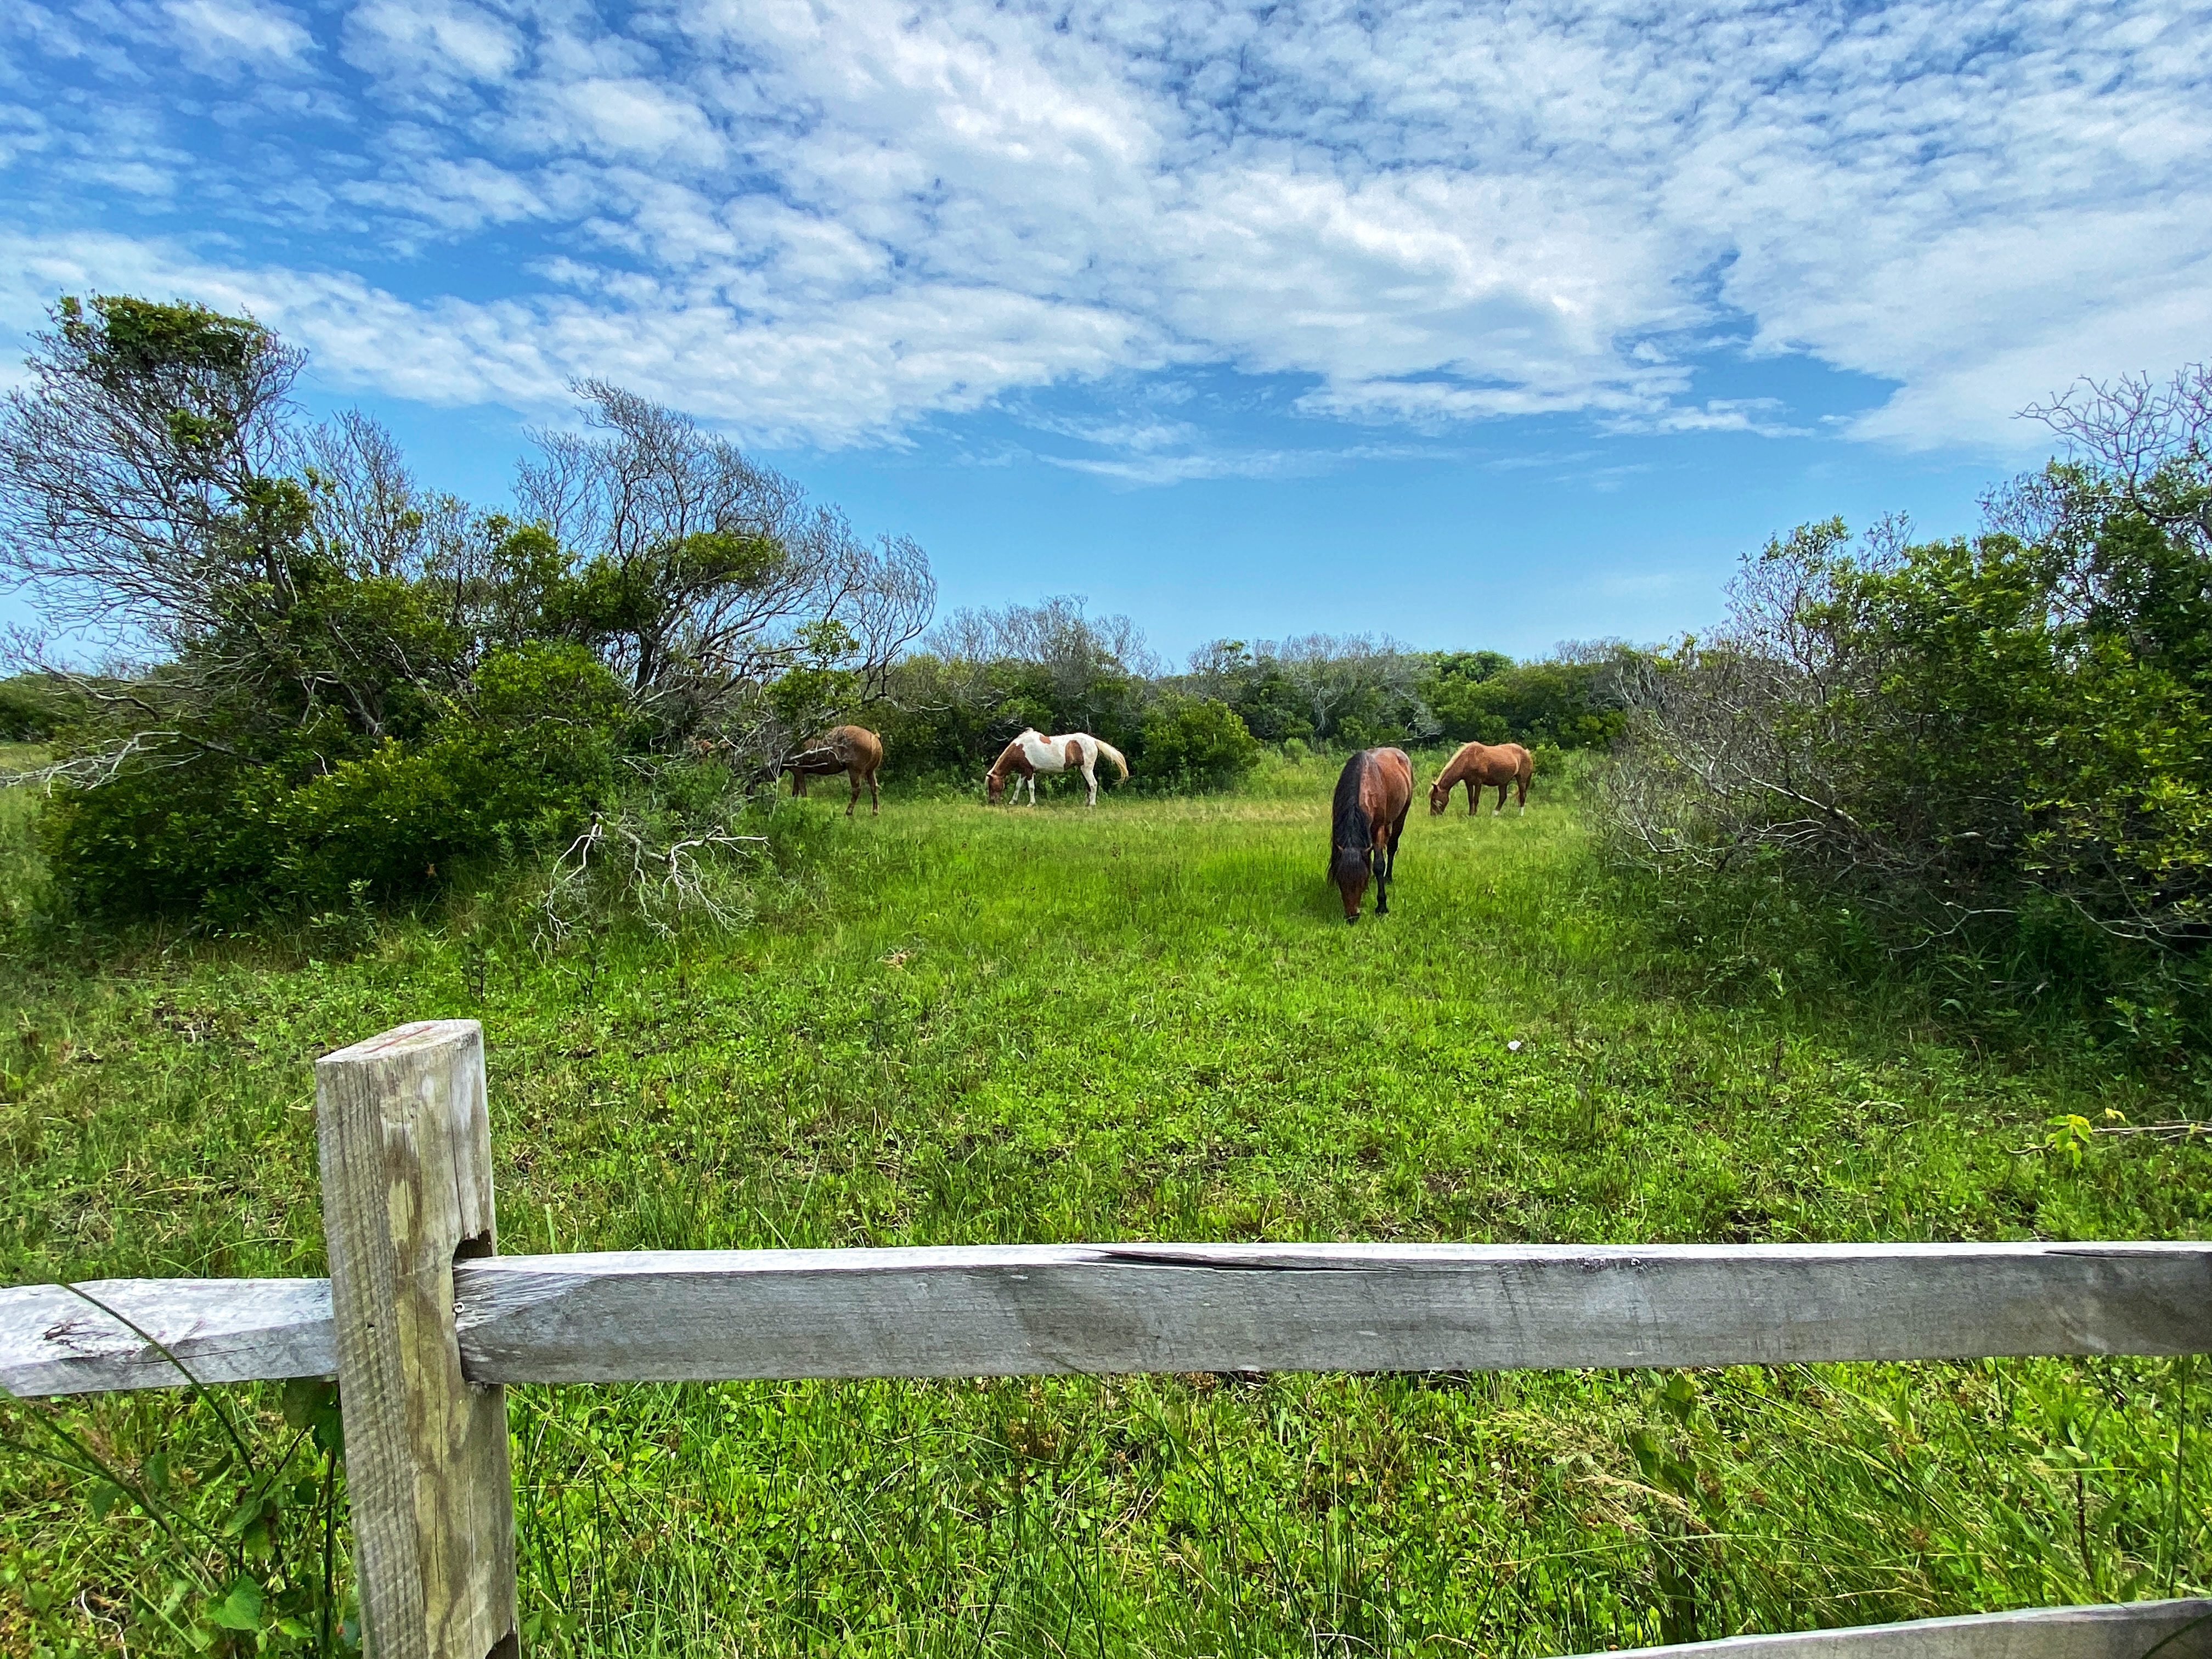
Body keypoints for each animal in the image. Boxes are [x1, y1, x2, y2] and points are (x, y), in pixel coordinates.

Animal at [778, 725, 880, 818]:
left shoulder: (798, 771)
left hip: (854, 771)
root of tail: (874, 739)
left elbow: (803, 792)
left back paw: (849, 812)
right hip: (870, 772)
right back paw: (875, 812)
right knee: (874, 788)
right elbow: (795, 792)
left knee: (857, 790)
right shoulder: (797, 773)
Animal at [982, 730, 1124, 809]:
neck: (1020, 748)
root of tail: (1094, 741)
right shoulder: (1024, 771)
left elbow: (1031, 788)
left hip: (1087, 769)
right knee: (1089, 786)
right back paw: (1087, 804)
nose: (992, 802)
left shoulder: (1029, 771)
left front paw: (1031, 803)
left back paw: (1092, 805)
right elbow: (1018, 786)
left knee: (1093, 784)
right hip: (1083, 769)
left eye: (991, 785)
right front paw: (1013, 801)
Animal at [1327, 752, 1415, 929]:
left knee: (1392, 847)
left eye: (1361, 881)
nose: (1352, 917)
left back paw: (1388, 878)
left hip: (1401, 816)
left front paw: (1382, 907)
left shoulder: (1378, 829)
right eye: (1340, 880)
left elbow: (1379, 865)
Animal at [1424, 738, 1531, 818]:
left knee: (1522, 795)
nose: (1433, 816)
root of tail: (1526, 752)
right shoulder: (1469, 783)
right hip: (1503, 782)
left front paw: (1474, 815)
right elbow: (1470, 799)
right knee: (1503, 797)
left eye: (1435, 800)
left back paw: (1520, 815)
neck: (1470, 759)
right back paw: (1495, 814)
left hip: (1521, 779)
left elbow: (1476, 799)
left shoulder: (1478, 782)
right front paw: (1470, 814)